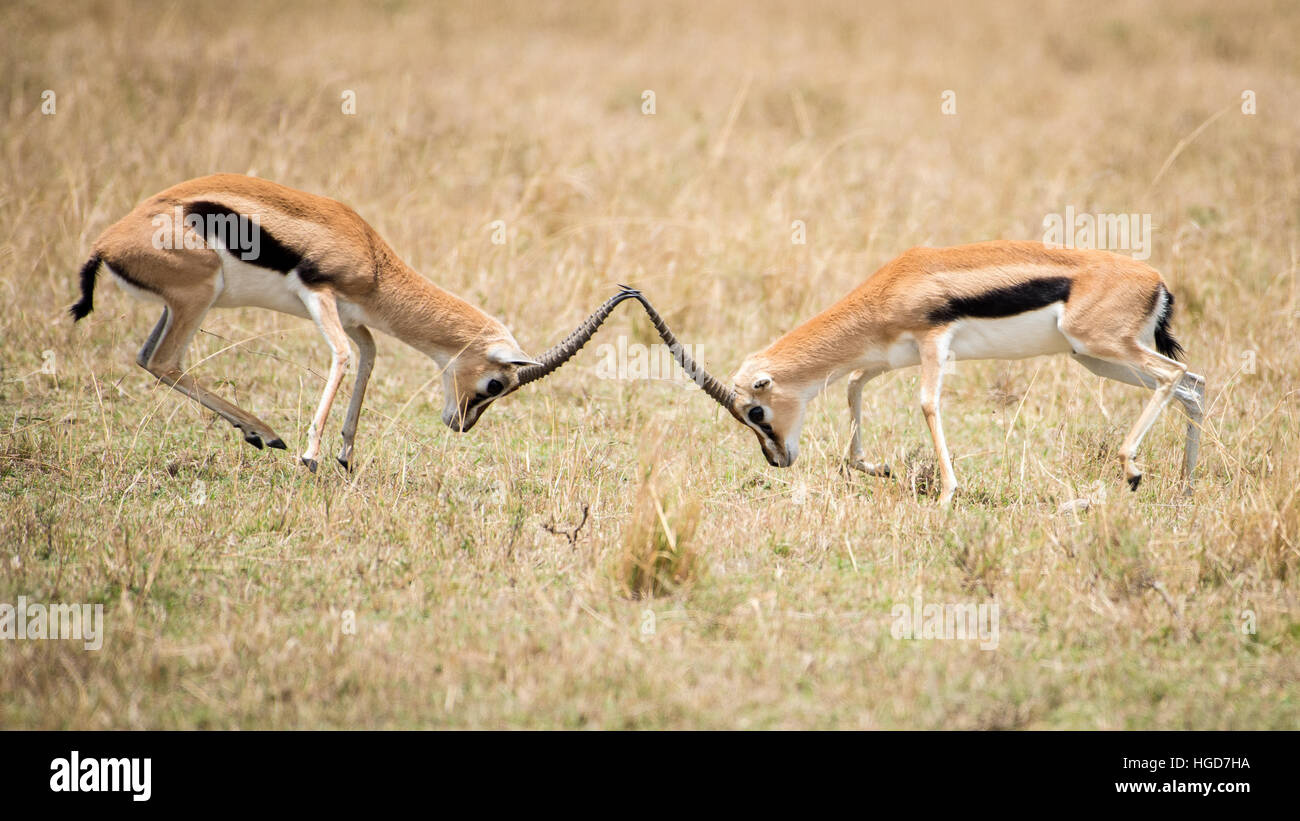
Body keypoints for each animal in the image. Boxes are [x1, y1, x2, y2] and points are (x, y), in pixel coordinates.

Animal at [70, 174, 639, 470]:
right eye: (496, 384)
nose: (460, 424)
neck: (373, 258)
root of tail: (107, 244)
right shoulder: (320, 295)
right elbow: (343, 356)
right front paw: (311, 455)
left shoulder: (355, 317)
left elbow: (368, 358)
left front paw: (345, 455)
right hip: (198, 297)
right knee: (165, 361)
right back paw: (269, 436)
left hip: (178, 306)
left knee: (148, 357)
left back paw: (259, 434)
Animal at [628, 241, 1206, 504]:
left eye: (755, 410)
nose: (777, 460)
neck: (892, 286)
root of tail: (1156, 281)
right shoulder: (885, 359)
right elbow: (853, 389)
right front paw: (878, 468)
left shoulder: (933, 346)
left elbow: (927, 405)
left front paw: (947, 494)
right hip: (1095, 357)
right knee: (1192, 384)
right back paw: (1184, 485)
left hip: (1101, 346)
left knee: (1173, 375)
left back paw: (1132, 470)